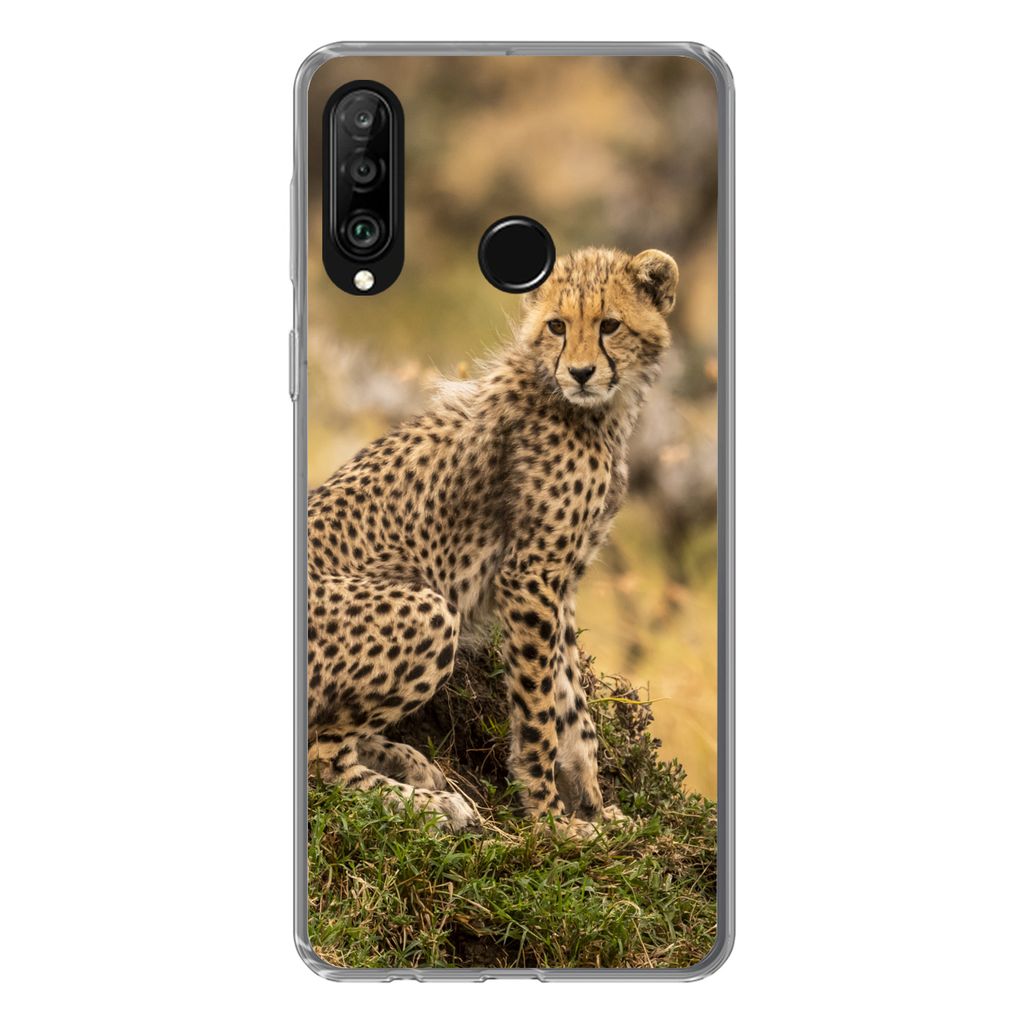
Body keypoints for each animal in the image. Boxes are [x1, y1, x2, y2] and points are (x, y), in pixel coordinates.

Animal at [307, 246, 679, 837]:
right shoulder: (529, 577)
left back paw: (409, 762)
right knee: (322, 758)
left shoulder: (560, 581)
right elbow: (539, 708)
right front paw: (551, 820)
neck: (591, 411)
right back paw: (430, 804)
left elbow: (573, 705)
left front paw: (596, 807)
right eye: (557, 326)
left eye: (609, 325)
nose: (580, 372)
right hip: (429, 610)